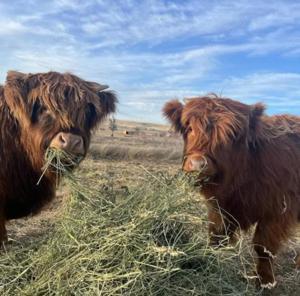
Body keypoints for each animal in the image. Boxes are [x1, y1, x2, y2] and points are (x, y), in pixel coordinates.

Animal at [164, 95, 300, 290]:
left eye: (230, 134)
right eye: (189, 128)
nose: (198, 164)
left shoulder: (278, 211)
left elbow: (263, 247)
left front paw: (264, 281)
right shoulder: (219, 209)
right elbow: (216, 238)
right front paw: (209, 265)